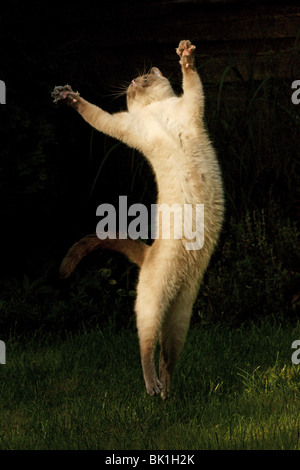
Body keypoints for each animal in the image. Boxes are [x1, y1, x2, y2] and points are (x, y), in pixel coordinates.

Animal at [52, 41, 225, 400]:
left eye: (143, 76)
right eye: (134, 80)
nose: (131, 83)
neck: (154, 110)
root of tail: (147, 256)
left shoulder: (192, 106)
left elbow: (191, 79)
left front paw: (186, 55)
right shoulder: (125, 127)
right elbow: (94, 115)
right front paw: (68, 97)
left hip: (180, 317)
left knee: (166, 357)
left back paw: (166, 394)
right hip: (153, 304)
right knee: (146, 347)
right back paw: (153, 388)